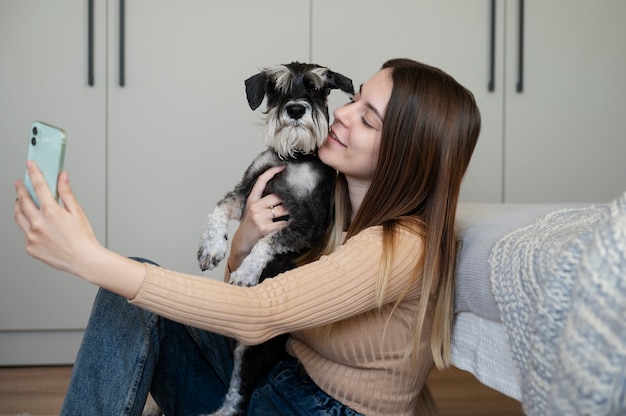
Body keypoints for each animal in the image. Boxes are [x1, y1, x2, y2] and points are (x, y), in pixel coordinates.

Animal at [196, 62, 352, 416]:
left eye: (316, 87)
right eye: (277, 88)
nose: (295, 110)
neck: (293, 158)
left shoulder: (308, 222)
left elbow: (268, 242)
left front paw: (244, 274)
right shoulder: (246, 191)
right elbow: (218, 210)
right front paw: (212, 247)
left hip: (253, 345)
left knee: (239, 393)